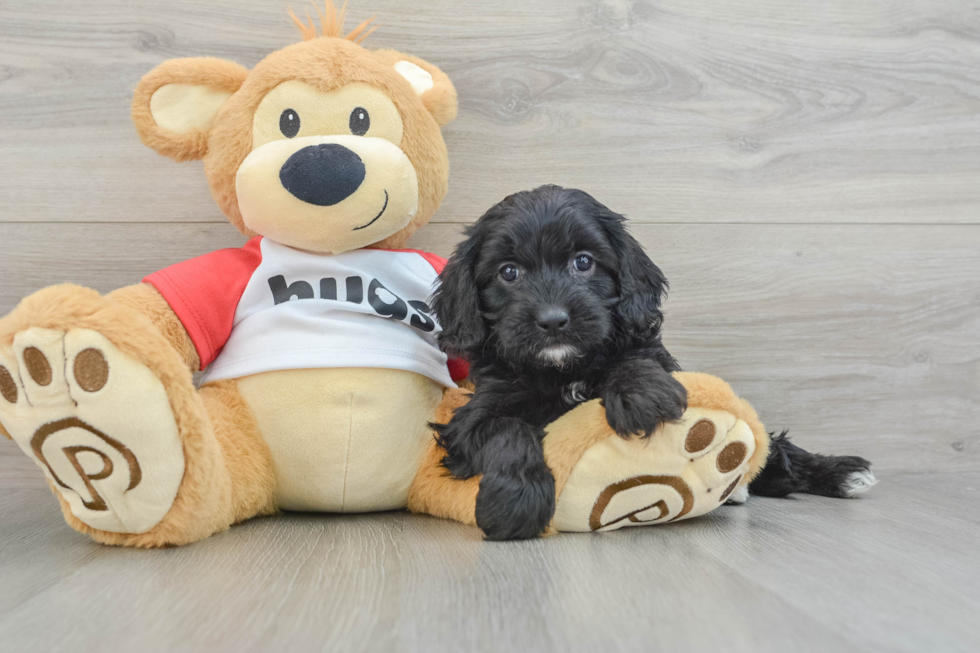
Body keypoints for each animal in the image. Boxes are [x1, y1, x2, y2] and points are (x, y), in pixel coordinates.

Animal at [432, 185, 876, 540]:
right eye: (508, 272)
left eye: (583, 262)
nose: (553, 320)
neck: (564, 370)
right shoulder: (473, 416)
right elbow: (507, 430)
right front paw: (514, 503)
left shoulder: (651, 355)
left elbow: (636, 359)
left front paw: (640, 396)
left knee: (775, 450)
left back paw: (840, 472)